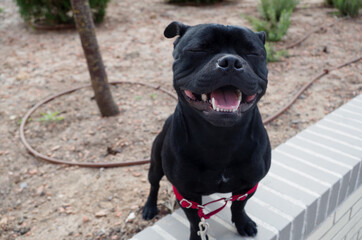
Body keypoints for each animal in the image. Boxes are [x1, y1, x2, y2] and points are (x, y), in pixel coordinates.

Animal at [143, 22, 270, 240]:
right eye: (198, 49)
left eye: (252, 52)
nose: (230, 62)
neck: (221, 137)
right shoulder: (186, 193)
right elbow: (196, 220)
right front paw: (197, 236)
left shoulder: (248, 185)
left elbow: (239, 206)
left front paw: (243, 223)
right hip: (156, 163)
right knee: (154, 184)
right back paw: (150, 207)